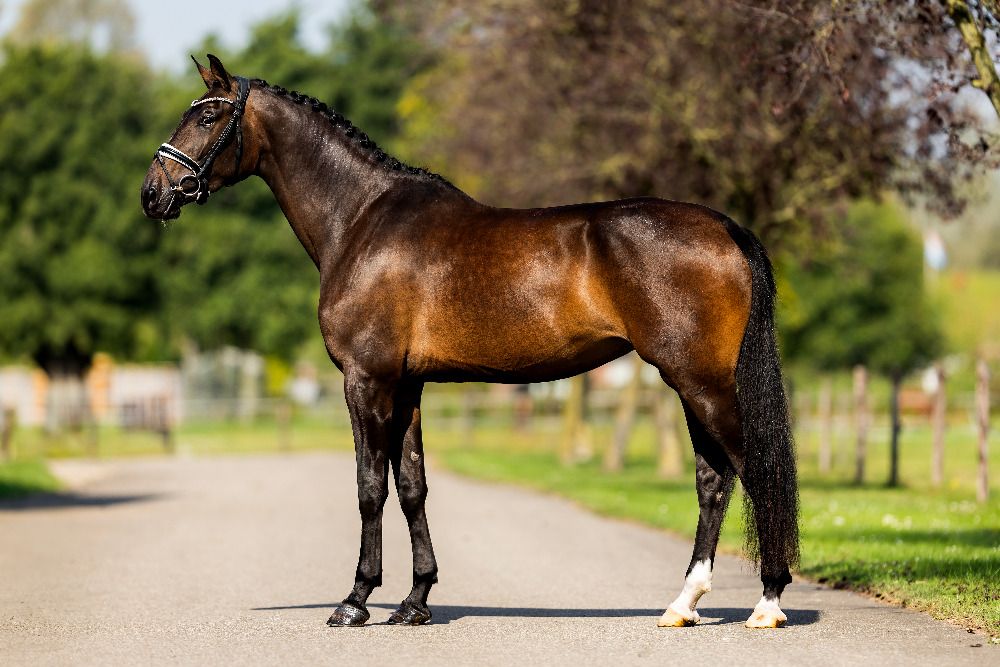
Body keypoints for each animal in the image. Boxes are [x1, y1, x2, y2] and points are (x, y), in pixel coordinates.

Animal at [142, 55, 799, 630]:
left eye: (207, 116)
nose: (154, 194)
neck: (359, 220)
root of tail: (725, 227)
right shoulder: (406, 385)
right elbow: (411, 487)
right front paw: (414, 602)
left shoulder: (366, 380)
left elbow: (368, 486)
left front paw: (355, 601)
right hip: (691, 384)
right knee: (713, 481)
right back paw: (683, 604)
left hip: (701, 381)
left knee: (753, 469)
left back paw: (767, 602)